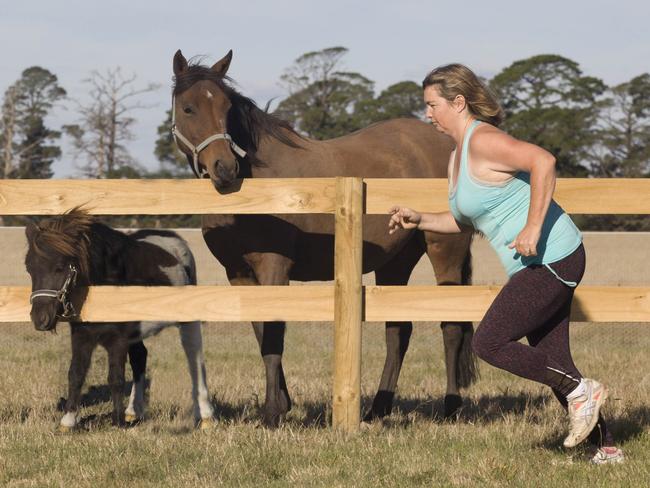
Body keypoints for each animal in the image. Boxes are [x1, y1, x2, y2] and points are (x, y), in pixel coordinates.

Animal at [25, 210, 214, 430]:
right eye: (29, 268)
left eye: (60, 267)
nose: (40, 319)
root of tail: (175, 239)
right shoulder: (81, 335)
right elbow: (76, 373)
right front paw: (68, 420)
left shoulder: (118, 340)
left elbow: (115, 378)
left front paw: (117, 421)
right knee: (140, 357)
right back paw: (133, 411)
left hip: (188, 319)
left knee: (194, 356)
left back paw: (205, 414)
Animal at [172, 47, 476, 426]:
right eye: (188, 108)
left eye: (227, 108)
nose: (225, 169)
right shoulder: (238, 273)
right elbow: (261, 332)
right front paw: (281, 403)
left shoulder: (274, 267)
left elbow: (274, 334)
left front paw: (272, 412)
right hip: (396, 261)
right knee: (398, 331)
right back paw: (378, 408)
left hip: (444, 249)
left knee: (451, 326)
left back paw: (451, 407)